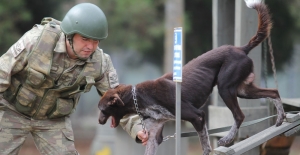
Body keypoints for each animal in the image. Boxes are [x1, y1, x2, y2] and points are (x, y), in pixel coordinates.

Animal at [98, 1, 286, 155]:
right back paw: (280, 118)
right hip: (242, 90)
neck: (140, 97)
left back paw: (227, 138)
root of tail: (241, 48)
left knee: (239, 115)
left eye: (102, 109)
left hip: (226, 88)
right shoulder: (154, 136)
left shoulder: (197, 116)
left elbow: (205, 144)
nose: (99, 122)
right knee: (274, 92)